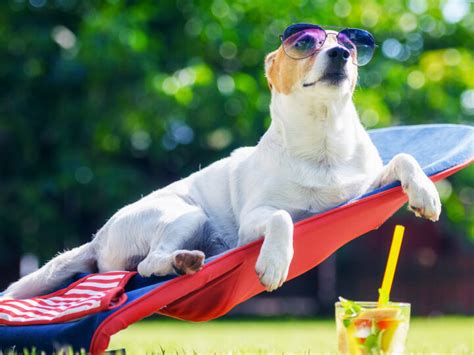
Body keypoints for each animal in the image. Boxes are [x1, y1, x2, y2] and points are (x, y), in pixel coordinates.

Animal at [2, 23, 440, 298]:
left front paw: (425, 193)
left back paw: (186, 262)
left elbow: (403, 157)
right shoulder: (252, 223)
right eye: (305, 44)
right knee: (146, 266)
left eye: (349, 46)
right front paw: (274, 263)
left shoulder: (361, 187)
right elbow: (283, 217)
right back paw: (182, 261)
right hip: (185, 215)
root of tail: (97, 237)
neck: (322, 142)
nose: (339, 54)